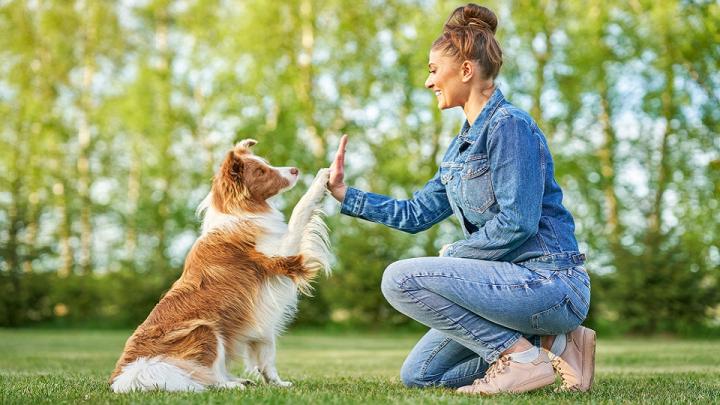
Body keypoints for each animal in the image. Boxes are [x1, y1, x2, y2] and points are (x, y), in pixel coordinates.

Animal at [109, 140, 332, 392]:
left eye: (266, 164)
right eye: (260, 171)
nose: (295, 170)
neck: (240, 213)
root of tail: (127, 374)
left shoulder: (263, 314)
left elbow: (267, 354)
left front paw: (277, 383)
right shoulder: (283, 256)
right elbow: (299, 211)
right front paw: (322, 179)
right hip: (206, 330)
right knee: (208, 378)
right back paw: (231, 385)